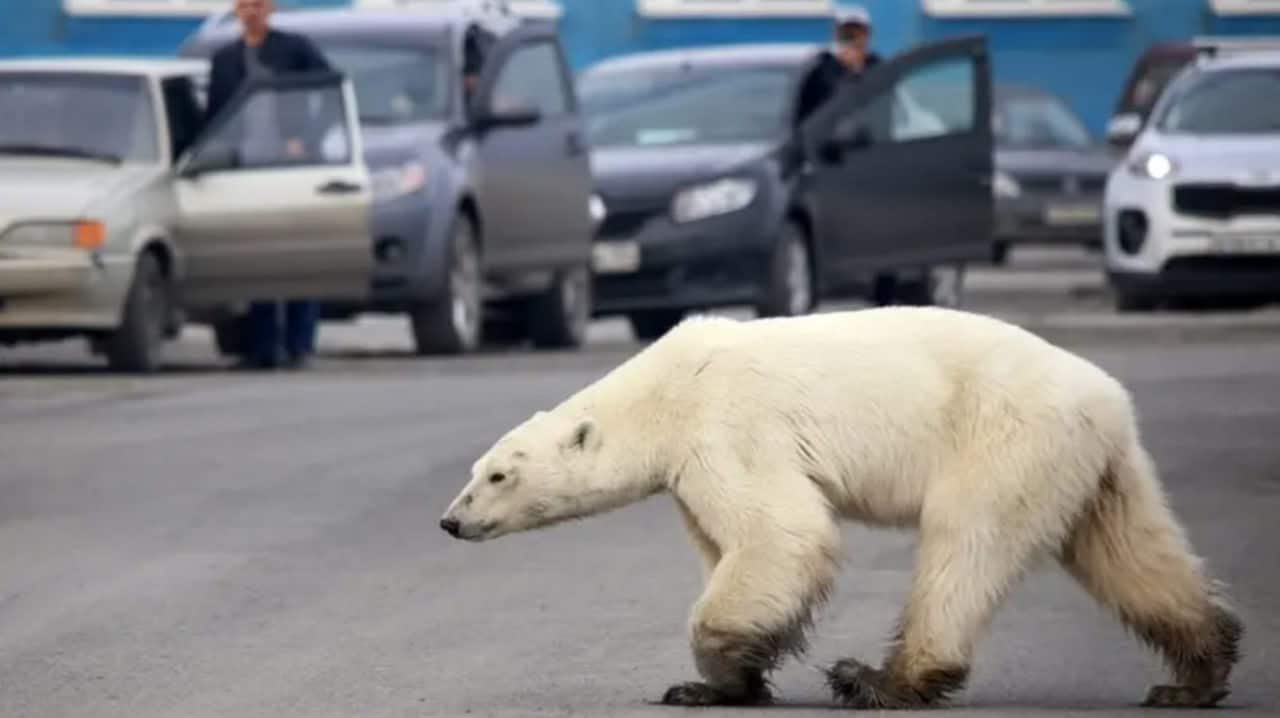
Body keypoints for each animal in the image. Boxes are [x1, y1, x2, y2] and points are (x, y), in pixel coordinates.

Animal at [439, 306, 1243, 710]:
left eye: (499, 475)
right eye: (475, 471)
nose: (450, 521)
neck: (661, 390)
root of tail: (1108, 399)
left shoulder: (726, 425)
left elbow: (779, 532)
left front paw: (713, 674)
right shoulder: (690, 469)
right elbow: (726, 544)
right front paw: (721, 681)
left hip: (1004, 435)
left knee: (964, 543)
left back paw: (880, 679)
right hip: (1092, 464)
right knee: (1129, 551)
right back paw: (1193, 675)